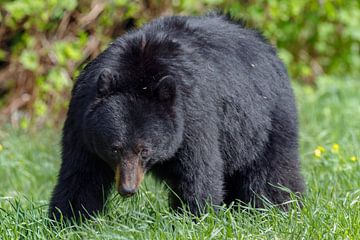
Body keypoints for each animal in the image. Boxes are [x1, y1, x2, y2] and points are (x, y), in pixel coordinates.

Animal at [48, 13, 304, 219]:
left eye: (144, 150)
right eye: (115, 148)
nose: (127, 189)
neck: (139, 74)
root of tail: (263, 41)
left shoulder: (193, 115)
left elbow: (198, 172)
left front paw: (196, 217)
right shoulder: (83, 120)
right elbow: (81, 174)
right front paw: (69, 220)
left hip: (267, 117)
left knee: (274, 169)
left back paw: (280, 209)